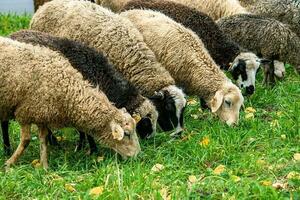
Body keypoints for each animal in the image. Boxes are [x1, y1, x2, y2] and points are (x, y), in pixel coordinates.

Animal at [2, 30, 157, 156]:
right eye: (146, 122)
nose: (150, 140)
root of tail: (12, 35)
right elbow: (85, 130)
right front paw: (91, 150)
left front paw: (83, 146)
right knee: (4, 123)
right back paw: (8, 149)